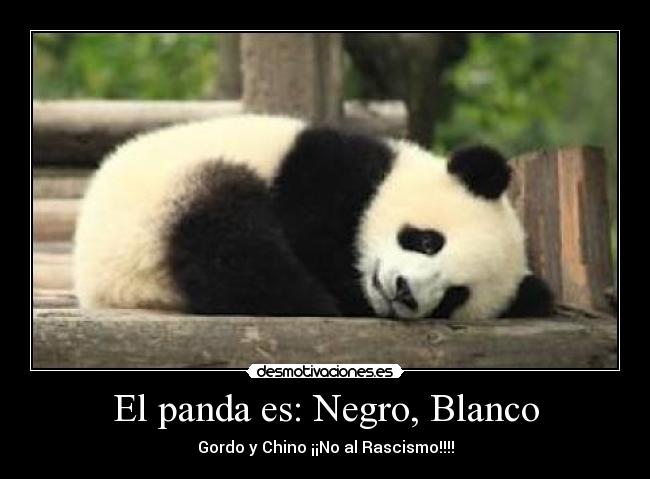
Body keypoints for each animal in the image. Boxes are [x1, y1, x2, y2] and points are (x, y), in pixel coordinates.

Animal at [73, 114, 553, 320]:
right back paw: (316, 302)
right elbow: (309, 234)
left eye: (456, 295)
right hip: (161, 203)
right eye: (427, 240)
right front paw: (343, 290)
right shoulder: (328, 171)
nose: (404, 293)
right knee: (231, 240)